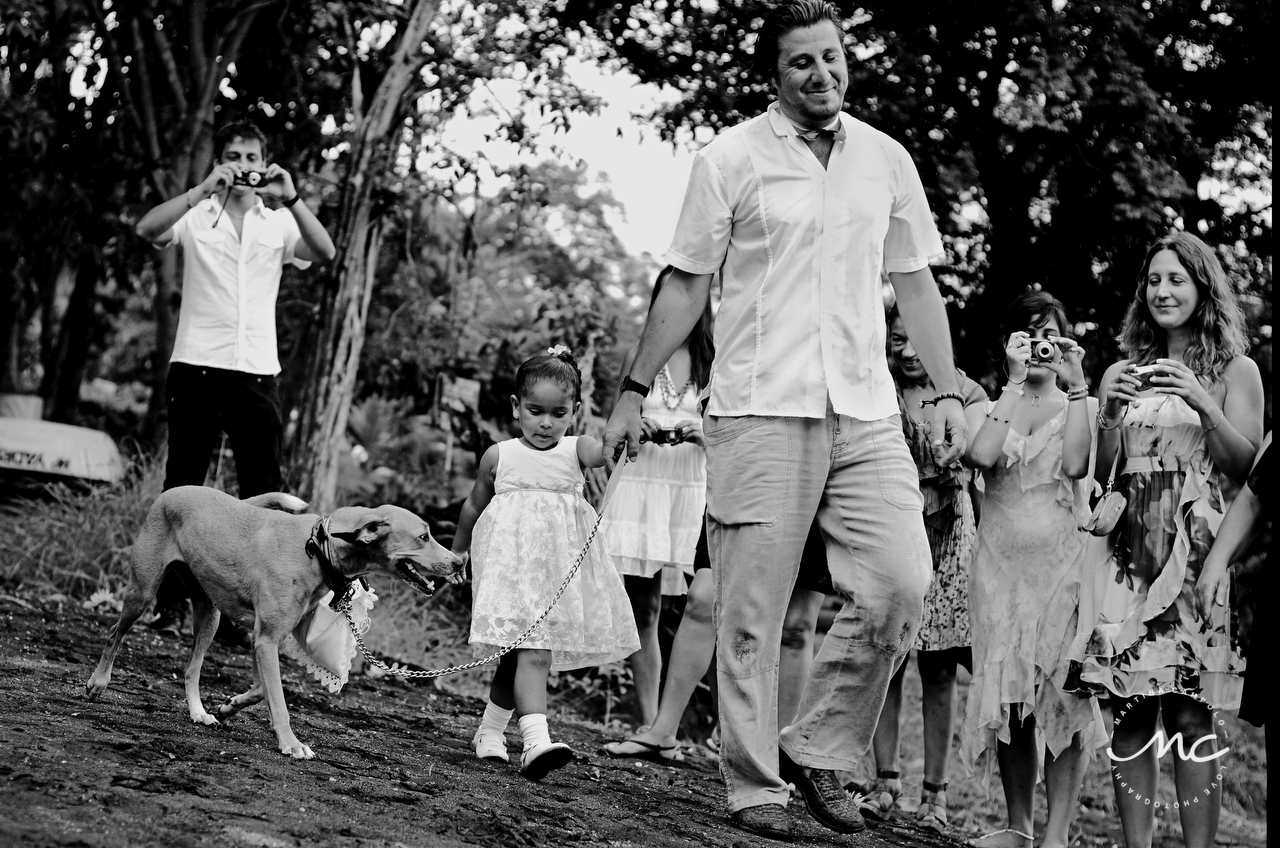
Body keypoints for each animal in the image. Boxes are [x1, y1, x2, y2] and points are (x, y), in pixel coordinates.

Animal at [83, 489, 460, 758]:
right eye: (424, 536)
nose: (460, 562)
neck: (318, 547)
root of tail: (174, 490)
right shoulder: (265, 640)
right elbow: (277, 698)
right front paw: (291, 743)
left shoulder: (265, 640)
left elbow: (261, 689)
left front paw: (230, 706)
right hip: (142, 593)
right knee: (114, 634)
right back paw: (98, 682)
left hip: (210, 616)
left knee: (191, 670)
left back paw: (199, 712)